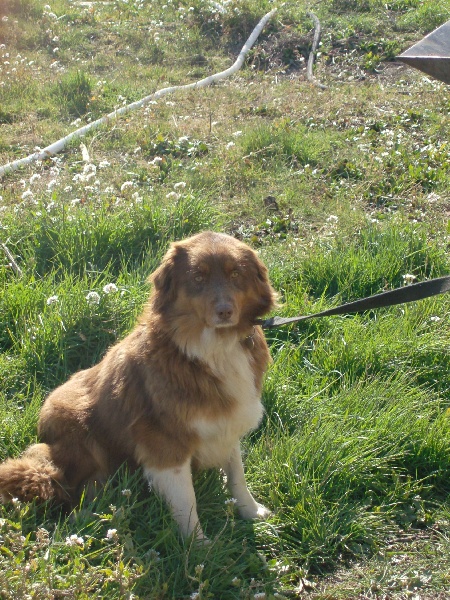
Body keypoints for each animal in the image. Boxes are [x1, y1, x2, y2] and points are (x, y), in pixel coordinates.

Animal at [0, 231, 278, 540]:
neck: (213, 349)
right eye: (198, 277)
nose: (225, 311)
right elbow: (186, 501)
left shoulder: (227, 420)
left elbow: (237, 475)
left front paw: (251, 512)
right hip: (80, 437)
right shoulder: (163, 442)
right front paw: (198, 547)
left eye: (236, 274)